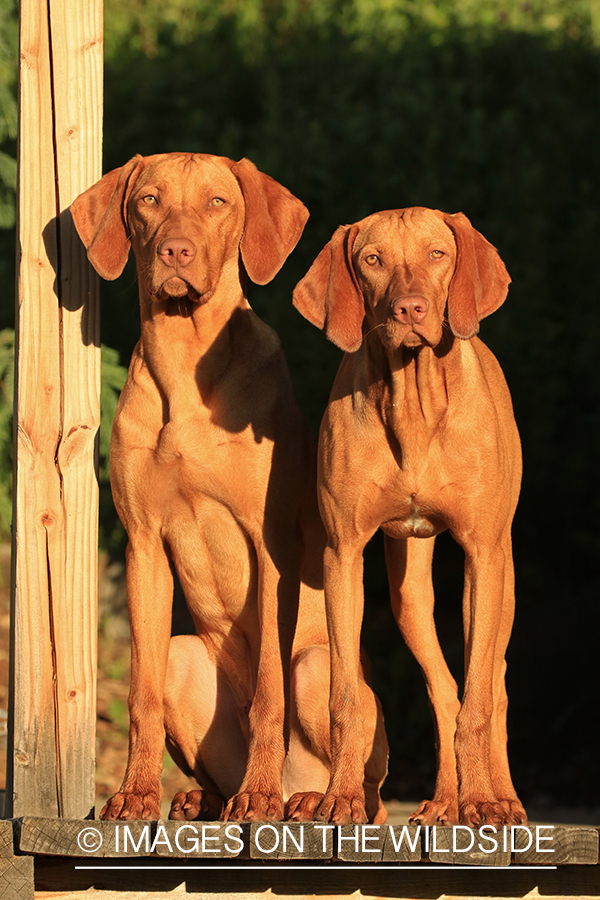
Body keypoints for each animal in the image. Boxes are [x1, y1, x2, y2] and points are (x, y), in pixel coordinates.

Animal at [71, 153, 390, 824]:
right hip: (182, 657)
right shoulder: (143, 545)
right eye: (148, 199)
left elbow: (268, 690)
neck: (185, 367)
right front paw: (134, 792)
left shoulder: (270, 549)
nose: (176, 251)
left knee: (360, 775)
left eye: (218, 201)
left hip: (318, 667)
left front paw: (259, 795)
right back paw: (204, 797)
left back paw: (303, 796)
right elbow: (138, 694)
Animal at [292, 207, 528, 828]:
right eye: (372, 260)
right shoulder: (342, 555)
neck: (414, 402)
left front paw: (484, 801)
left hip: (501, 578)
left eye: (437, 254)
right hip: (408, 599)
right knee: (443, 689)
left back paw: (500, 797)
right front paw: (341, 797)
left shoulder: (481, 556)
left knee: (491, 686)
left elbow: (479, 700)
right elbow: (346, 697)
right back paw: (446, 800)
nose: (411, 310)